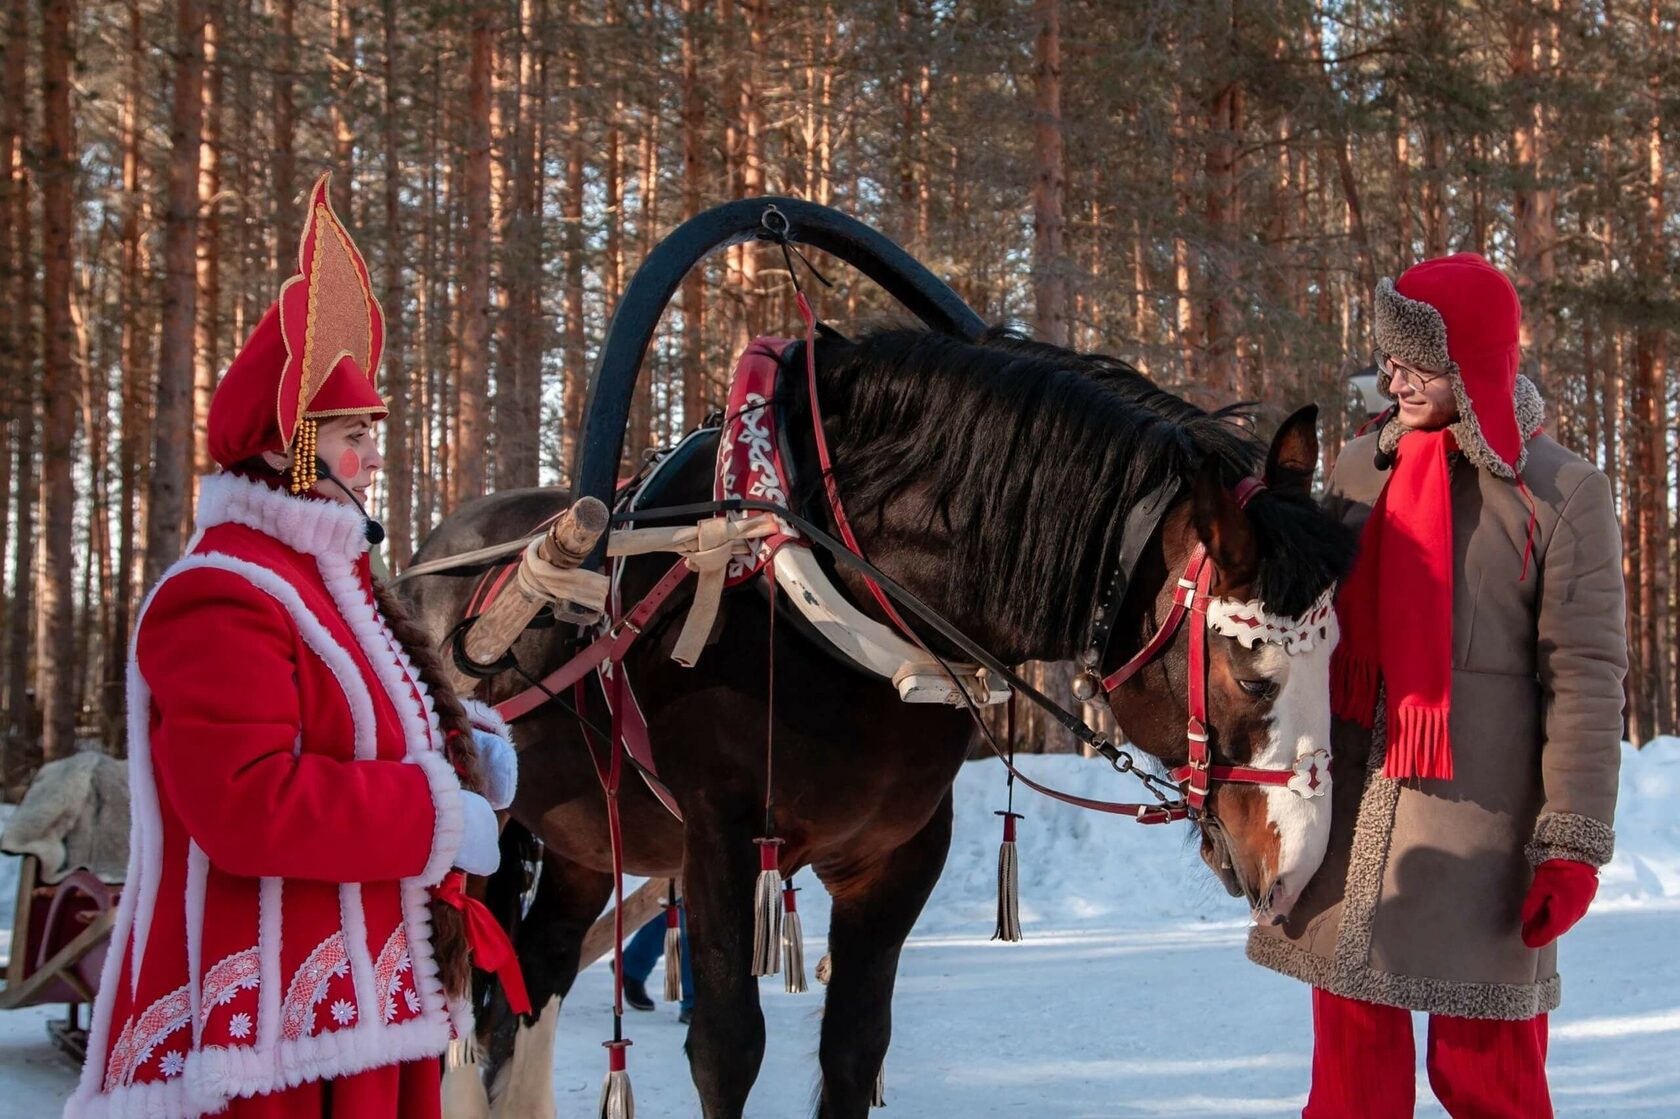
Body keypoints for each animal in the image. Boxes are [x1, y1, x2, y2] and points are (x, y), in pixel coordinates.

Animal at [403, 324, 1350, 1115]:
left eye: (1335, 651)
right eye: (1247, 669)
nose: (1300, 868)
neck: (815, 592)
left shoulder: (898, 854)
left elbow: (856, 1045)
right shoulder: (717, 834)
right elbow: (726, 1048)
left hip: (581, 837)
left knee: (538, 970)